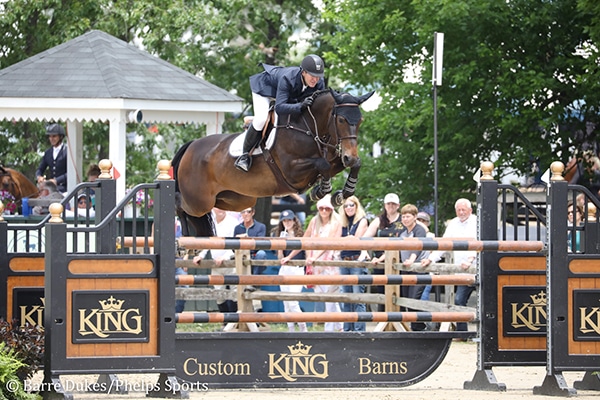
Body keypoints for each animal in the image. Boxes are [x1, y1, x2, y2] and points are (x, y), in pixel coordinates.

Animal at [171, 89, 372, 236]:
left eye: (360, 120)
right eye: (341, 119)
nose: (350, 156)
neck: (309, 127)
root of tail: (191, 146)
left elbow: (351, 165)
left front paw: (341, 193)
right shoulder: (291, 171)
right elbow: (323, 165)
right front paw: (322, 190)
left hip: (236, 199)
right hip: (199, 201)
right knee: (180, 204)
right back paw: (184, 240)